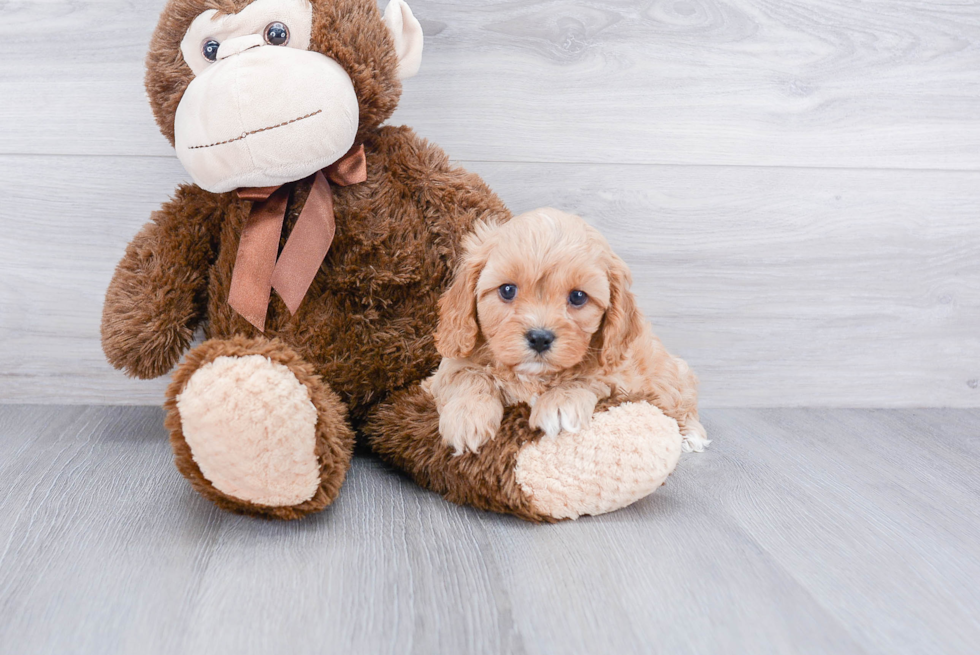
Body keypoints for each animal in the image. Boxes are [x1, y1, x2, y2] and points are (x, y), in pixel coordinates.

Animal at [424, 209, 708, 456]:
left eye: (578, 297)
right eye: (507, 290)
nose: (540, 338)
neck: (534, 377)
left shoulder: (618, 376)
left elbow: (587, 378)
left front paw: (559, 404)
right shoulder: (446, 369)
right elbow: (468, 376)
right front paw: (467, 416)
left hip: (666, 375)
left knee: (682, 401)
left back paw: (692, 434)